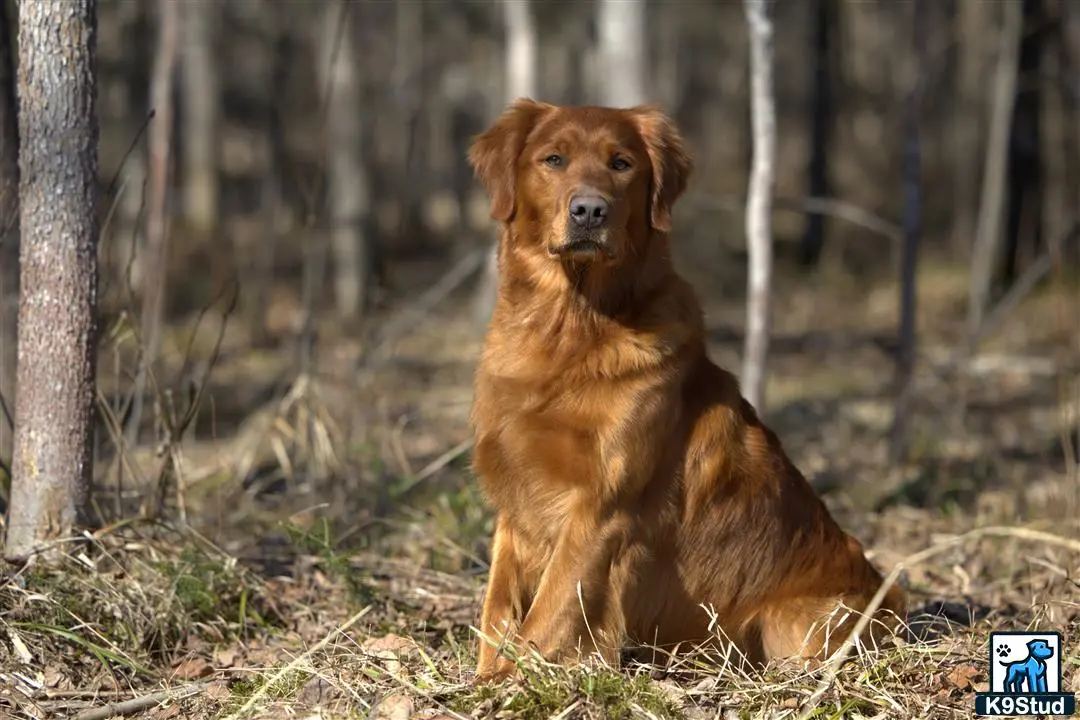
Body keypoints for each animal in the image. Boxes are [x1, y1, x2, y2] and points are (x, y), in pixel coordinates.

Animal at [464, 97, 902, 682]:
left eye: (621, 164)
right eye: (553, 159)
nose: (589, 210)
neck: (571, 326)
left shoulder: (602, 506)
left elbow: (549, 610)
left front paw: (506, 685)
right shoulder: (515, 494)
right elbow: (498, 609)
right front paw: (485, 677)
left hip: (796, 625)